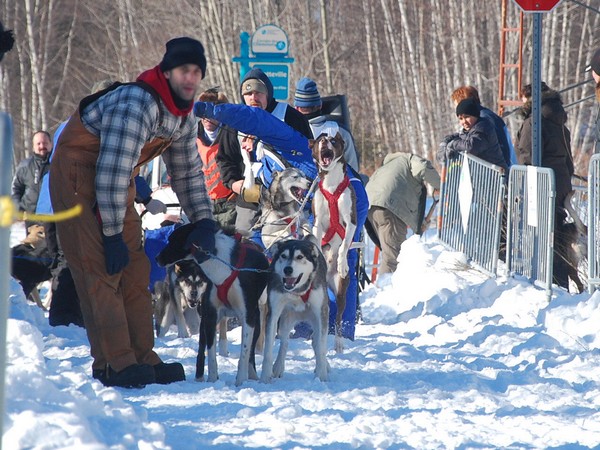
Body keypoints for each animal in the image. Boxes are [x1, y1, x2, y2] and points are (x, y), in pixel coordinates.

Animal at [156, 222, 268, 386]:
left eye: (173, 240)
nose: (157, 258)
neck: (223, 269)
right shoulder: (210, 315)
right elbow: (211, 354)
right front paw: (213, 380)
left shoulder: (247, 317)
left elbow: (245, 353)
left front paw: (240, 382)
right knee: (202, 349)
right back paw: (200, 377)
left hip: (256, 322)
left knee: (251, 351)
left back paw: (252, 375)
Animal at [260, 237, 330, 382]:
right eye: (283, 256)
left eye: (300, 257)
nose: (288, 269)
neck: (297, 292)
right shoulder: (273, 313)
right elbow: (268, 349)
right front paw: (265, 377)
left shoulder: (321, 312)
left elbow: (321, 347)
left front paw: (321, 376)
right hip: (285, 321)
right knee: (284, 342)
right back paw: (278, 367)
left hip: (316, 320)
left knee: (317, 342)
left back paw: (324, 367)